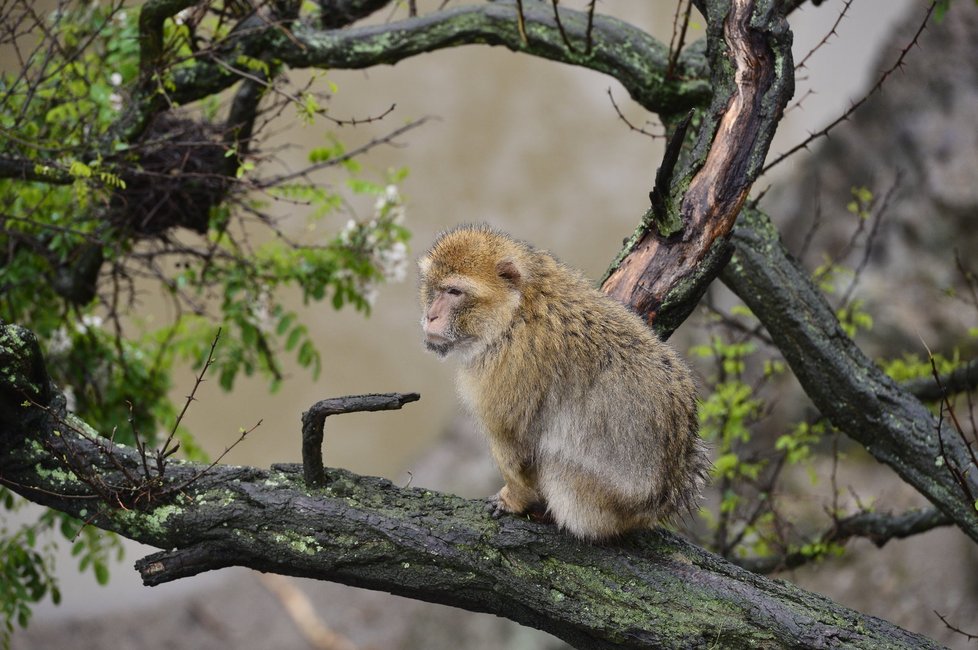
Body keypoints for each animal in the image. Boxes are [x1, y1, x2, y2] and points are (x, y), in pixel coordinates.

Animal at [416, 225, 704, 540]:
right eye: (435, 288)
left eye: (454, 292)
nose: (430, 316)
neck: (516, 311)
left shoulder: (503, 371)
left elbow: (514, 441)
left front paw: (513, 498)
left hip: (592, 496)